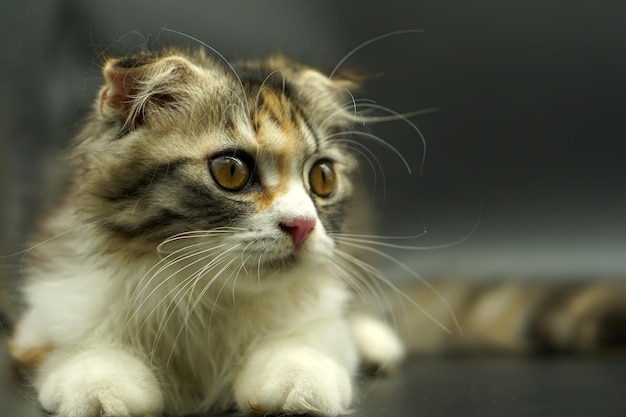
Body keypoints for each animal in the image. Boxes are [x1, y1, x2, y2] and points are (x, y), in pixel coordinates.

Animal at [6, 46, 624, 416]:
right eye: (231, 171)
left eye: (321, 179)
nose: (303, 225)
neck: (208, 296)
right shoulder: (43, 315)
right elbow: (83, 351)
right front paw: (103, 386)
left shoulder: (319, 309)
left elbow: (308, 347)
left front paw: (297, 384)